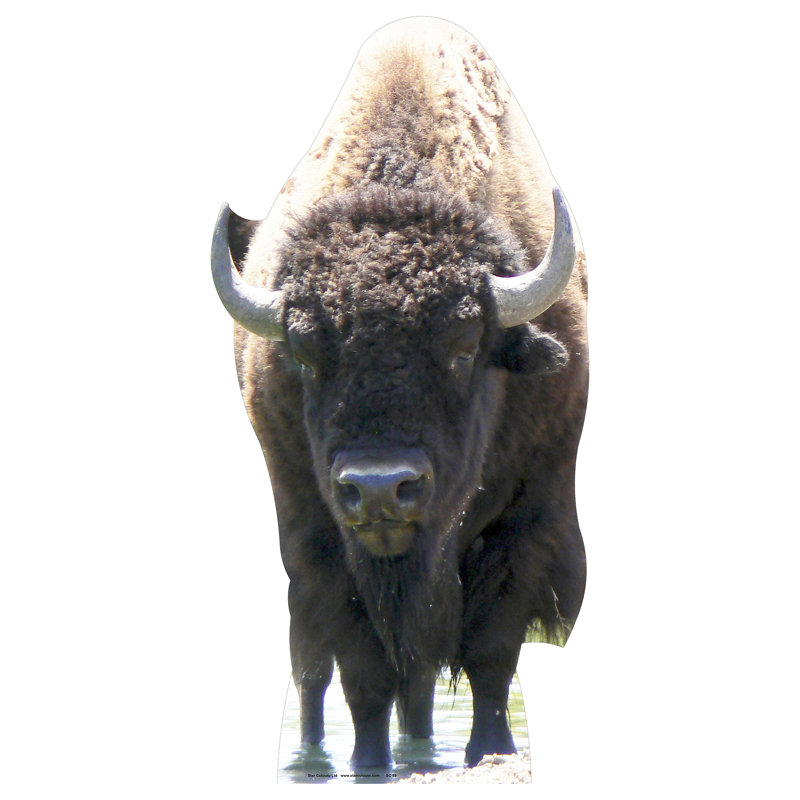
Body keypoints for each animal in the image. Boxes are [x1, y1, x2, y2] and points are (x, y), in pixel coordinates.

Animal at [211, 18, 588, 769]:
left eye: (465, 347)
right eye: (305, 353)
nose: (381, 488)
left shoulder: (530, 515)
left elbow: (490, 651)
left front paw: (490, 748)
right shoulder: (317, 531)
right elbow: (359, 668)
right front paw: (367, 763)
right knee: (313, 669)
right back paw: (318, 758)